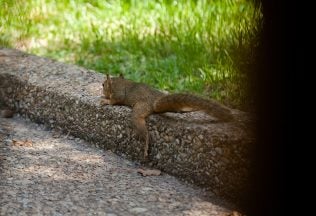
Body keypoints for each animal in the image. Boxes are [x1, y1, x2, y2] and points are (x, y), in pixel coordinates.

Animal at [100, 74, 233, 159]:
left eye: (103, 85)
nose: (102, 88)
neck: (119, 82)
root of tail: (155, 100)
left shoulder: (118, 93)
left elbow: (116, 99)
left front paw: (106, 101)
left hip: (141, 108)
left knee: (140, 124)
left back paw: (145, 145)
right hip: (170, 105)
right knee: (176, 108)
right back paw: (188, 109)